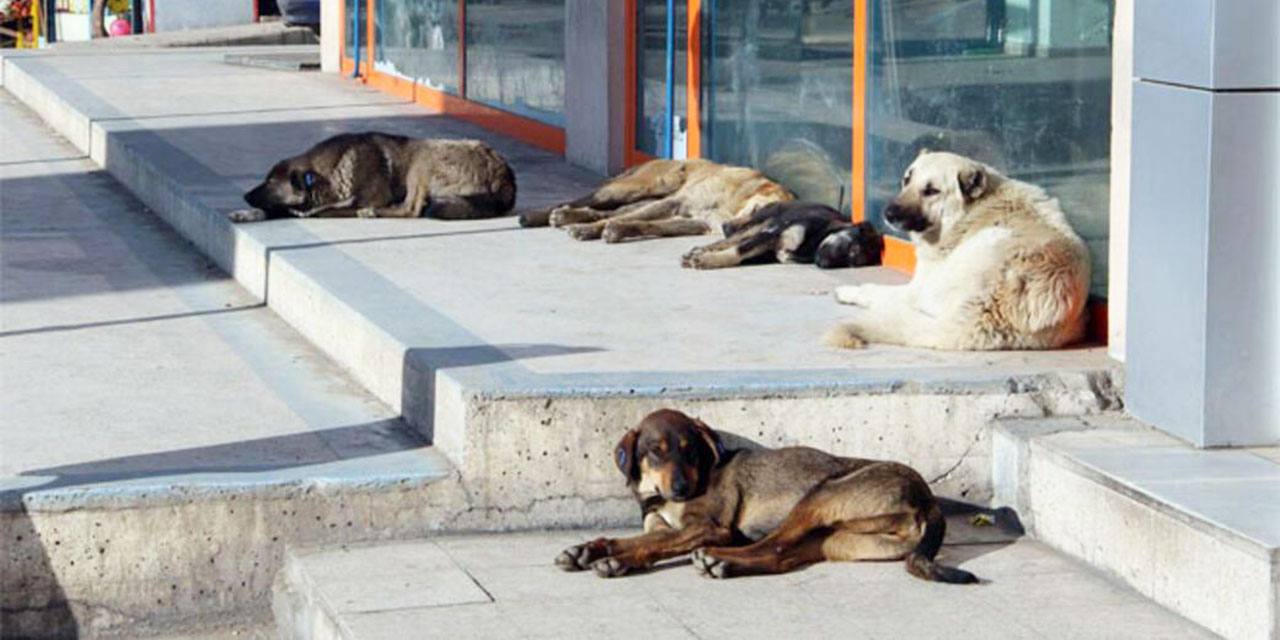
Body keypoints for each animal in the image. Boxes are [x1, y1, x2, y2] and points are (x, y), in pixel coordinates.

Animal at [514, 158, 783, 243]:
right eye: (756, 211)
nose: (728, 230)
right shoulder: (678, 203)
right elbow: (630, 219)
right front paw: (589, 230)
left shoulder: (697, 222)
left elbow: (647, 224)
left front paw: (617, 230)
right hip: (637, 188)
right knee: (579, 200)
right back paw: (540, 215)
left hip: (645, 198)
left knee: (609, 212)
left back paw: (572, 217)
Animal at [552, 409, 977, 586]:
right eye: (654, 452)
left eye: (690, 451)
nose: (681, 489)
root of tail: (928, 498)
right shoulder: (662, 527)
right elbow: (632, 539)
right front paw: (588, 549)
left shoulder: (709, 528)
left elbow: (647, 547)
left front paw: (616, 561)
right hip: (835, 540)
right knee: (781, 557)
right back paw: (725, 565)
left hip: (820, 496)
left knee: (773, 546)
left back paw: (718, 560)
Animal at [680, 200, 880, 268]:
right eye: (853, 249)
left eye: (852, 263)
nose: (825, 264)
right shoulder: (772, 234)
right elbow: (739, 250)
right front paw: (708, 260)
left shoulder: (770, 249)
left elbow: (740, 253)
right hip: (760, 223)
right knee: (728, 241)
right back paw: (702, 251)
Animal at [829, 151, 1090, 350]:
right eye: (907, 179)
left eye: (931, 191)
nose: (888, 213)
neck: (971, 210)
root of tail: (990, 308)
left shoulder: (916, 287)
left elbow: (872, 289)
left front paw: (849, 291)